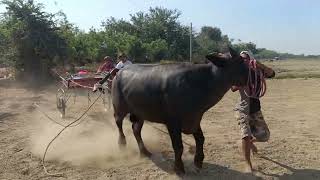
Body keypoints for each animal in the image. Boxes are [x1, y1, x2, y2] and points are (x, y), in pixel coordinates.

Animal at [112, 48, 250, 174]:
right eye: (240, 62)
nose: (251, 76)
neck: (199, 83)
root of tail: (119, 72)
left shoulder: (194, 119)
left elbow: (201, 139)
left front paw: (198, 161)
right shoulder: (173, 123)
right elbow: (178, 146)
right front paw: (178, 167)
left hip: (140, 113)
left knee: (136, 130)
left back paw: (144, 152)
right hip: (119, 108)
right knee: (119, 123)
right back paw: (122, 143)